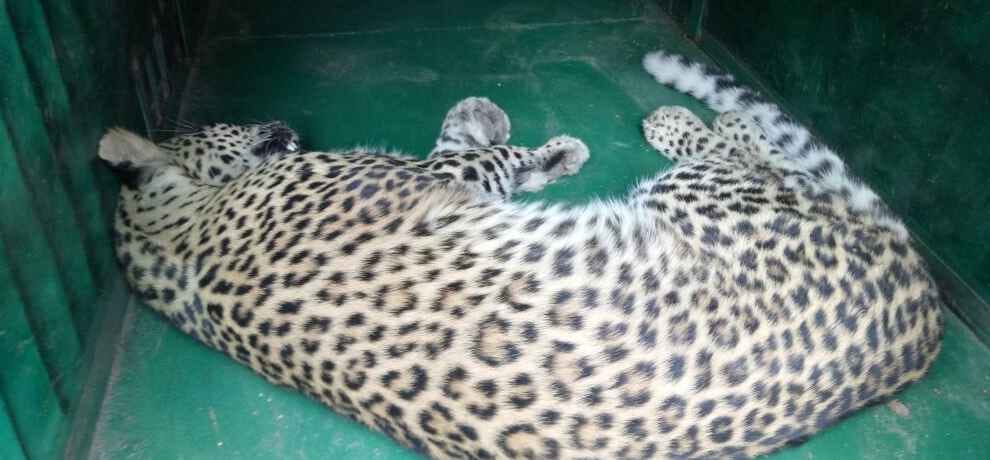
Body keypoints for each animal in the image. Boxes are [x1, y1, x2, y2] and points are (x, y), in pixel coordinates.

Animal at [98, 49, 944, 459]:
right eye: (228, 125)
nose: (277, 121)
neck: (166, 238)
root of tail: (924, 317)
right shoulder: (430, 180)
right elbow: (472, 153)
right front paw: (530, 141)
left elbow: (480, 157)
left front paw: (526, 144)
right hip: (705, 194)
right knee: (749, 147)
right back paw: (677, 118)